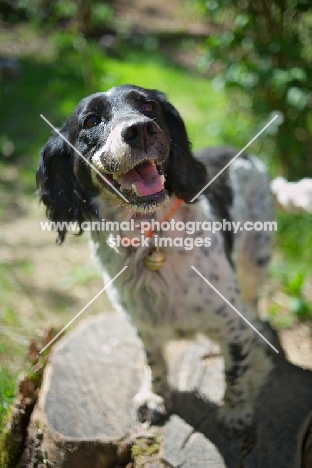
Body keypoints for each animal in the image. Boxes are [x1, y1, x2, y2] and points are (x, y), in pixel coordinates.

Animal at [37, 84, 276, 436]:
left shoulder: (231, 325)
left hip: (254, 259)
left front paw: (236, 411)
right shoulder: (143, 324)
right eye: (91, 120)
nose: (139, 130)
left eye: (148, 106)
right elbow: (155, 361)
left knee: (253, 304)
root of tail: (241, 152)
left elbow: (235, 371)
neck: (149, 236)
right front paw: (154, 397)